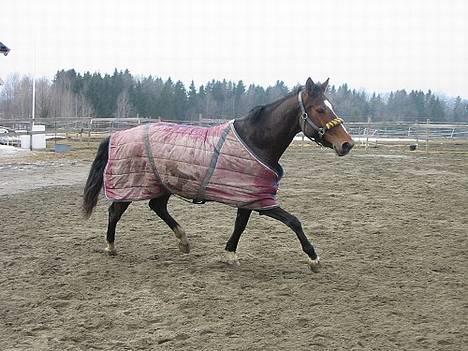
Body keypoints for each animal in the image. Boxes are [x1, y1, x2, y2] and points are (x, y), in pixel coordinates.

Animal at [83, 79, 354, 272]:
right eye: (320, 109)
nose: (347, 144)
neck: (255, 141)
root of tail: (118, 134)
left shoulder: (249, 197)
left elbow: (240, 225)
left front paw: (229, 254)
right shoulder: (262, 201)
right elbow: (294, 221)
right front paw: (314, 259)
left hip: (163, 184)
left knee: (157, 207)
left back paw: (183, 241)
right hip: (131, 185)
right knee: (115, 212)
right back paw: (110, 246)